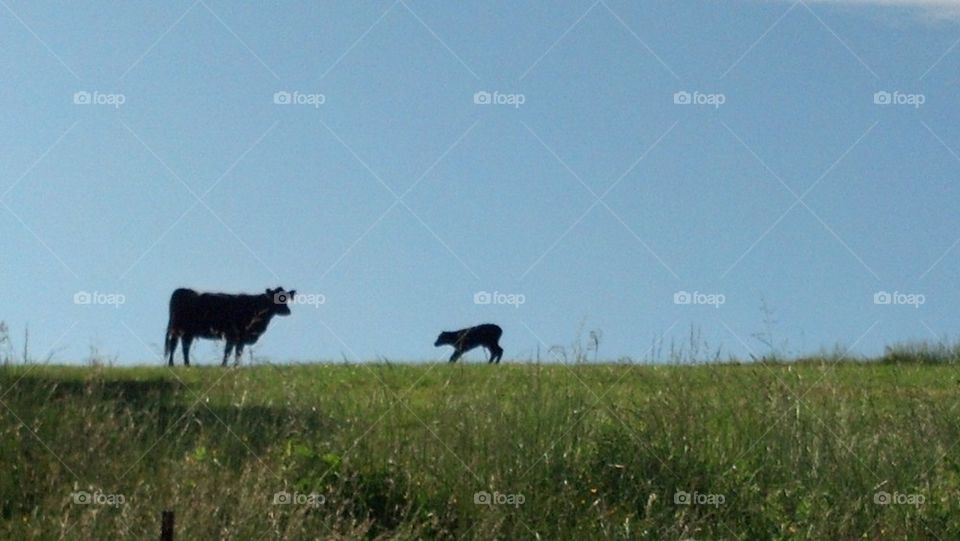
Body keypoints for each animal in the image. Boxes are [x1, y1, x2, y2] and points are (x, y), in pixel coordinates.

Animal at [164, 287, 295, 366]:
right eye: (277, 298)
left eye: (286, 298)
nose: (288, 311)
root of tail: (183, 290)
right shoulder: (235, 335)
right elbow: (231, 351)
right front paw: (228, 366)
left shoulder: (237, 338)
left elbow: (235, 351)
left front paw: (232, 366)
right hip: (178, 328)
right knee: (174, 345)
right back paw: (172, 364)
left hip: (187, 332)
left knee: (184, 347)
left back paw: (187, 365)